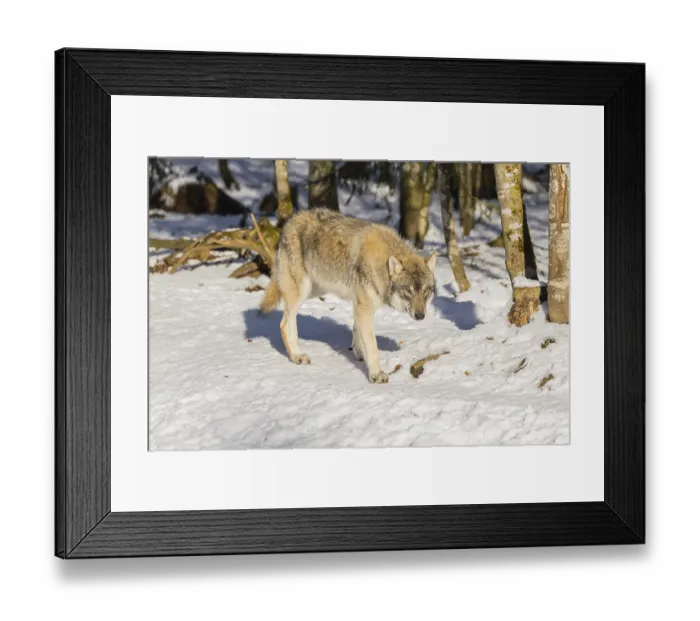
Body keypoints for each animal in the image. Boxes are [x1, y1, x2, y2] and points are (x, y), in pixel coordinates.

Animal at [259, 208, 437, 383]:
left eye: (425, 290)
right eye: (409, 290)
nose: (420, 316)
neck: (381, 265)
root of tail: (289, 222)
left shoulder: (360, 304)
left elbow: (357, 331)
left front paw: (359, 354)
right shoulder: (364, 306)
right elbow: (372, 346)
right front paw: (376, 374)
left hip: (315, 290)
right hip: (301, 292)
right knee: (285, 324)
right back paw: (297, 356)